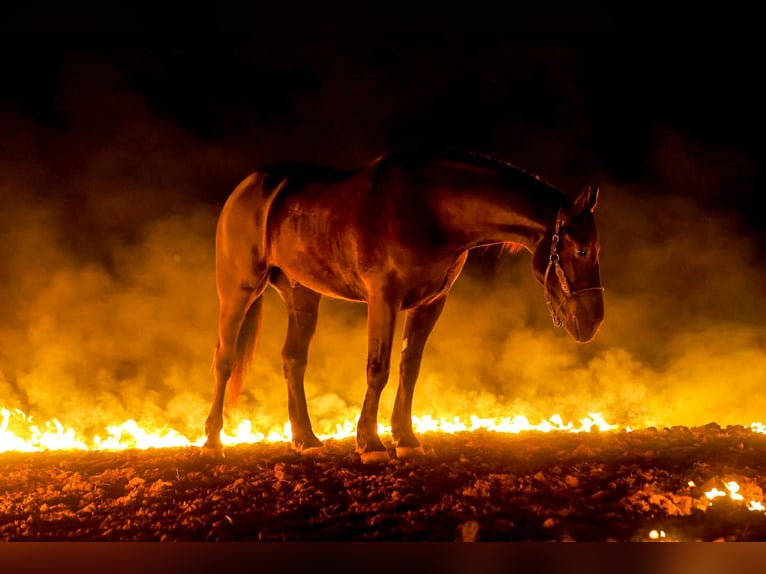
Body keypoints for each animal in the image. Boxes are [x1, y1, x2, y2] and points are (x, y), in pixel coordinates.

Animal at [202, 145, 604, 464]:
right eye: (582, 249)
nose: (593, 320)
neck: (430, 208)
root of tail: (249, 187)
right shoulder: (384, 298)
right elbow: (377, 369)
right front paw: (370, 444)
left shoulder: (429, 304)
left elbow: (409, 369)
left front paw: (406, 440)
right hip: (237, 290)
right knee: (224, 359)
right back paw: (212, 441)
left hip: (302, 296)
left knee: (293, 361)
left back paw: (306, 439)